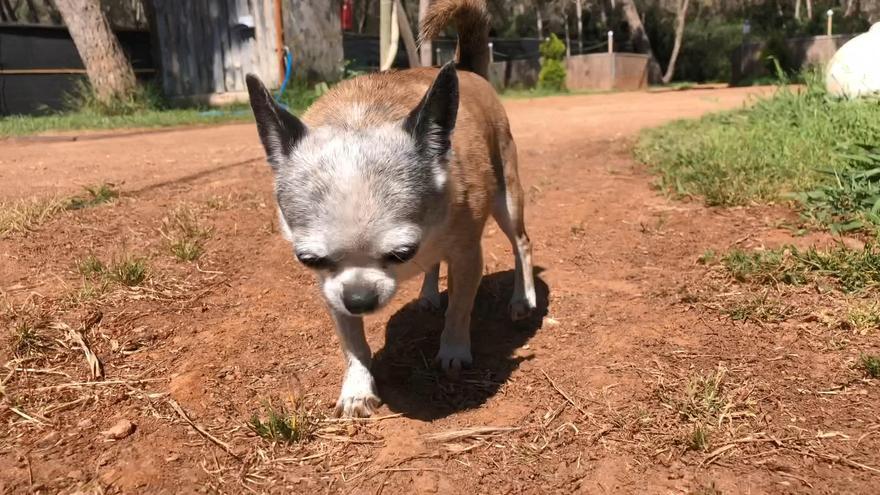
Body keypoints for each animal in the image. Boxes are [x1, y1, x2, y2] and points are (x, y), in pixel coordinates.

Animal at [248, 0, 536, 418]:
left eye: (400, 253)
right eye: (309, 260)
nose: (359, 299)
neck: (364, 117)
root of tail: (466, 69)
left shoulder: (468, 256)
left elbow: (459, 309)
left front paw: (453, 349)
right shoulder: (331, 288)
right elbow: (353, 343)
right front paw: (357, 387)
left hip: (507, 200)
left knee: (522, 244)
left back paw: (522, 299)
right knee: (436, 263)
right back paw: (429, 295)